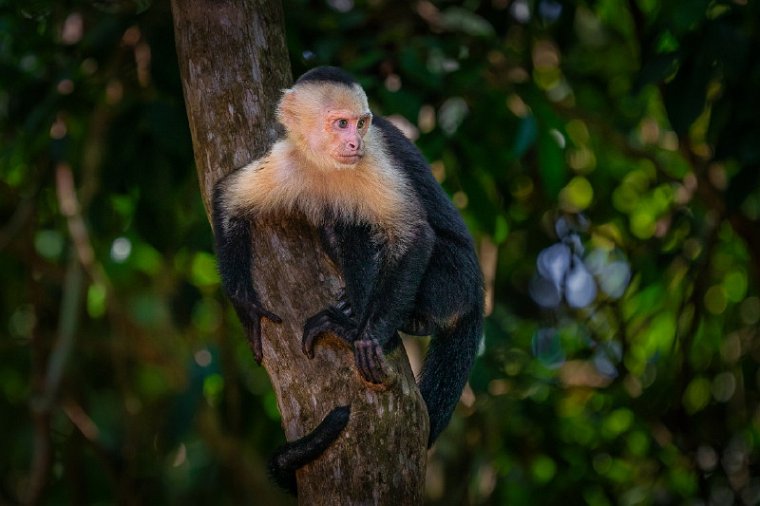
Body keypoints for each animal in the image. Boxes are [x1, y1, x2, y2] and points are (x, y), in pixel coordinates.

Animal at [211, 66, 484, 490]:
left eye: (360, 123)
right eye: (340, 124)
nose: (354, 141)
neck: (326, 166)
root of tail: (477, 293)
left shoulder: (372, 160)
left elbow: (414, 236)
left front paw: (366, 336)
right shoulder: (288, 160)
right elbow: (227, 196)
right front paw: (246, 310)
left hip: (453, 279)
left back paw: (389, 322)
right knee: (338, 221)